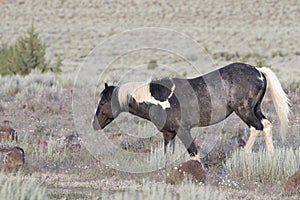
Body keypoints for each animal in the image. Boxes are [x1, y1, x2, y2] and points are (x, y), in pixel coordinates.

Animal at [92, 62, 290, 159]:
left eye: (102, 103)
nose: (94, 124)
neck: (157, 98)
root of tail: (257, 70)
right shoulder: (169, 134)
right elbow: (168, 155)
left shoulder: (183, 131)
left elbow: (194, 154)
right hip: (255, 109)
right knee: (267, 125)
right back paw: (271, 158)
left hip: (244, 111)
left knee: (256, 128)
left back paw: (245, 156)